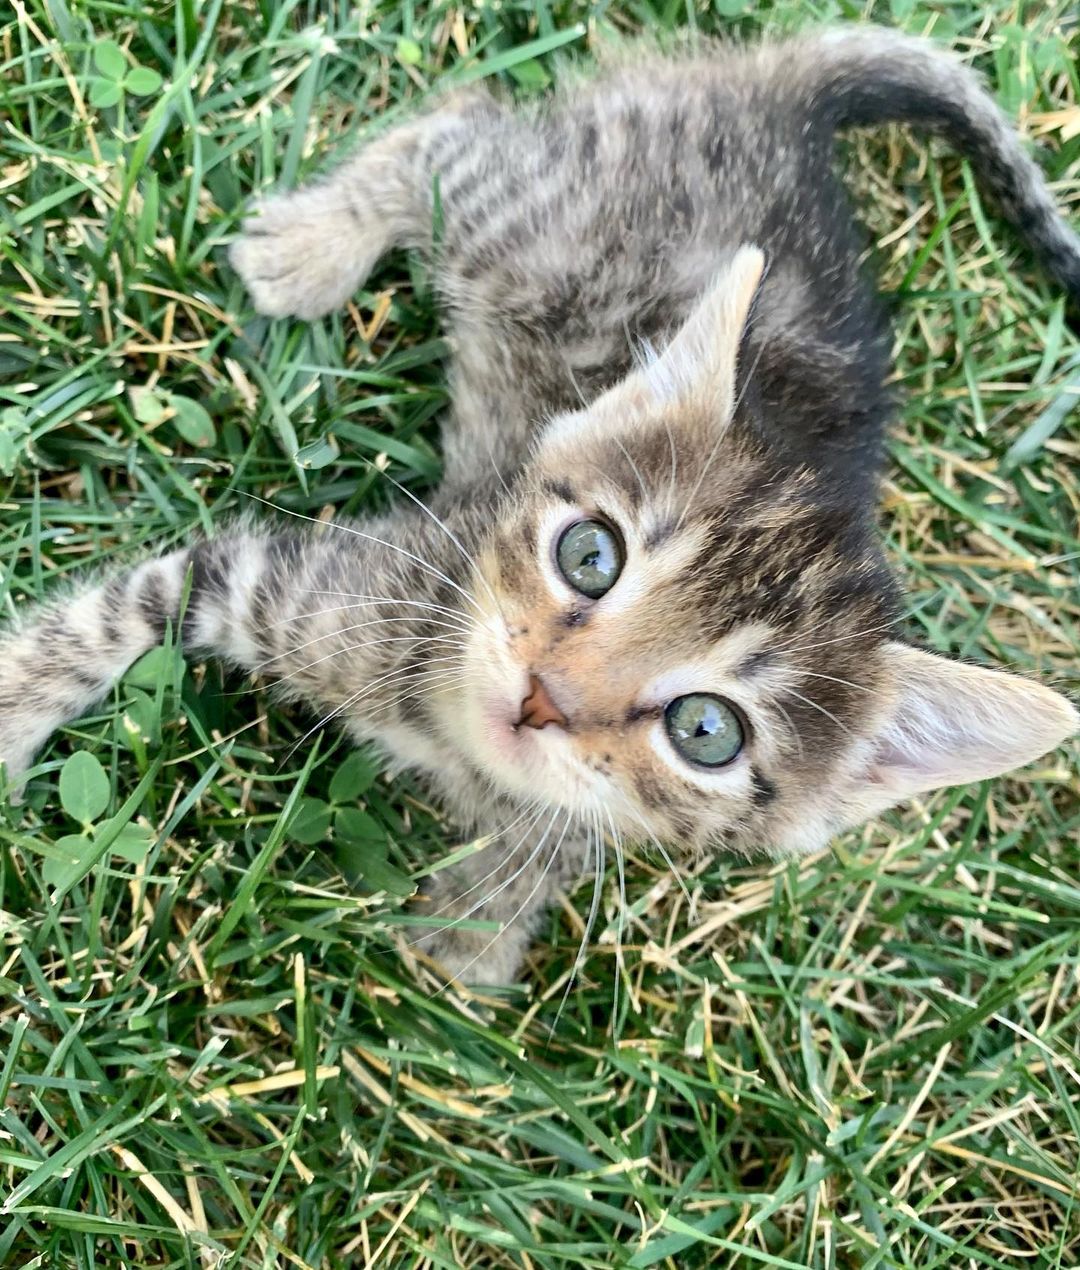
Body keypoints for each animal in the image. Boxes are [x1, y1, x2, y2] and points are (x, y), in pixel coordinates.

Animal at [2, 27, 1077, 980]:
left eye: (707, 732)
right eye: (589, 556)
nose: (543, 696)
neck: (444, 734)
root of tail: (787, 110)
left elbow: (530, 865)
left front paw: (470, 940)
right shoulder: (292, 580)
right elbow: (111, 616)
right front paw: (15, 699)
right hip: (541, 234)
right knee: (456, 128)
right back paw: (311, 248)